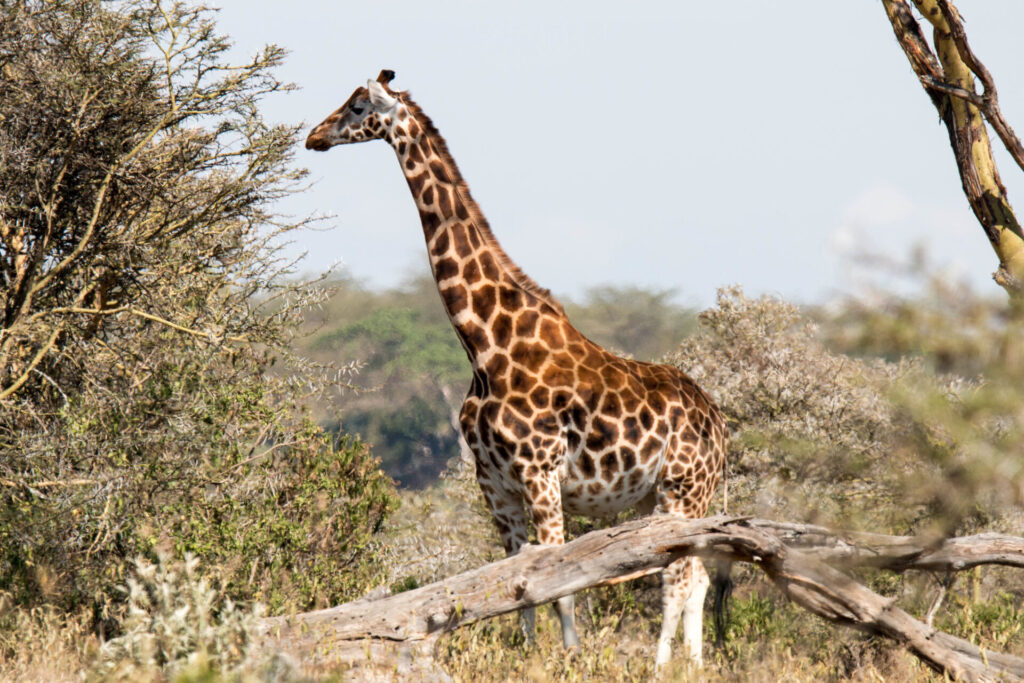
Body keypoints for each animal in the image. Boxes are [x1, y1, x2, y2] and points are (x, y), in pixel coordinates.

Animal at [306, 70, 728, 668]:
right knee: (697, 578)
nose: (314, 136)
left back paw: (661, 665)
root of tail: (721, 424)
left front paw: (570, 659)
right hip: (669, 498)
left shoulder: (540, 474)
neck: (484, 345)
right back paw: (692, 662)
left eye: (359, 105)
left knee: (681, 577)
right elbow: (514, 585)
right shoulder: (495, 485)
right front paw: (528, 655)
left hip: (683, 491)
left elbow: (559, 586)